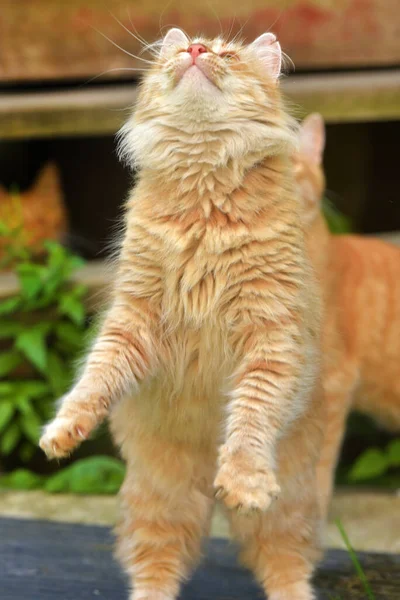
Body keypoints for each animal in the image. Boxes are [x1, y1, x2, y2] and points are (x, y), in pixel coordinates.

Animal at [39, 29, 322, 600]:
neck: (203, 196)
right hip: (160, 498)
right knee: (156, 566)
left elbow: (251, 416)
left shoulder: (270, 334)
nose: (195, 51)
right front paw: (63, 431)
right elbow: (92, 381)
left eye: (226, 53)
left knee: (285, 564)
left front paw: (241, 480)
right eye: (181, 49)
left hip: (285, 510)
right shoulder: (133, 319)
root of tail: (199, 481)